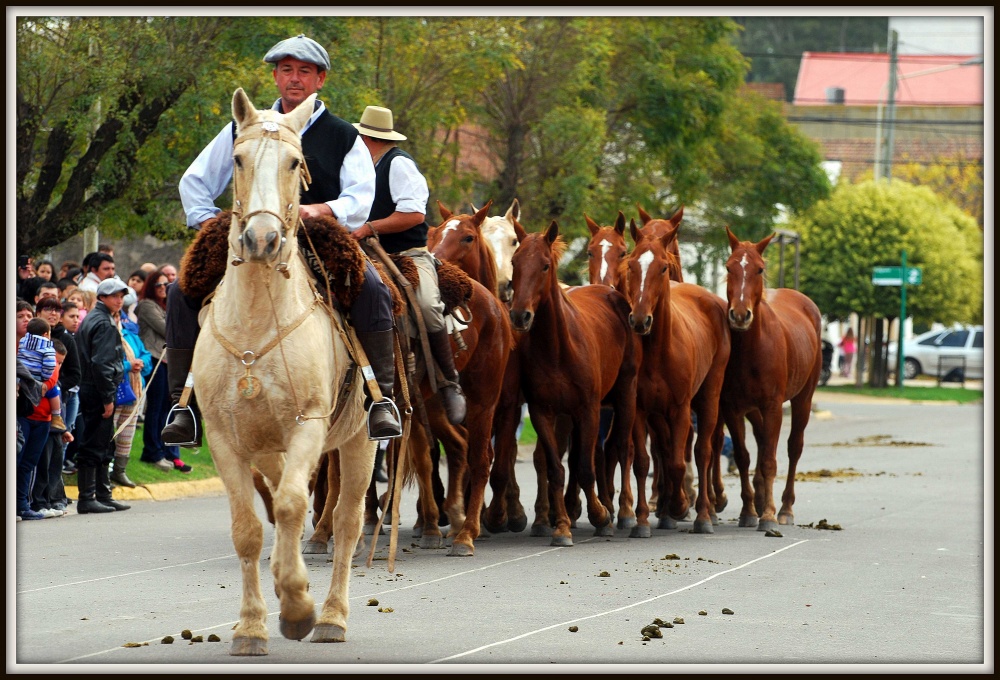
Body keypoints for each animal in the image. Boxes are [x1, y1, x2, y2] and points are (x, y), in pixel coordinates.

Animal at [188, 90, 376, 652]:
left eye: (295, 162)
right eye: (237, 159)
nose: (262, 239)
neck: (255, 323)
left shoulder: (308, 425)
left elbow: (294, 505)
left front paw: (296, 606)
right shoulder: (225, 439)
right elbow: (249, 528)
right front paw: (252, 625)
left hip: (360, 440)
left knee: (347, 520)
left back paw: (332, 616)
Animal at [494, 220, 636, 544]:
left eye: (545, 265)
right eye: (515, 262)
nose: (519, 315)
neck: (558, 347)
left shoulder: (589, 410)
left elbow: (585, 466)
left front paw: (600, 516)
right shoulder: (543, 412)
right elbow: (556, 468)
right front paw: (560, 526)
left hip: (625, 392)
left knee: (621, 447)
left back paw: (625, 513)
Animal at [620, 215, 732, 532]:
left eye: (662, 267)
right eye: (631, 264)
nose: (640, 319)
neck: (660, 351)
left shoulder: (681, 408)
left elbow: (678, 462)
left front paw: (680, 504)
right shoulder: (640, 410)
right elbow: (644, 460)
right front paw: (643, 519)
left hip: (710, 395)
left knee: (704, 450)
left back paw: (704, 513)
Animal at [724, 226, 824, 532]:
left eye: (759, 269)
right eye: (729, 267)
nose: (740, 314)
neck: (752, 347)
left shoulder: (772, 406)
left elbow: (769, 459)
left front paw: (768, 515)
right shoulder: (732, 409)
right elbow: (743, 457)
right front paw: (748, 510)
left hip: (804, 398)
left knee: (793, 447)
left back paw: (785, 507)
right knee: (759, 441)